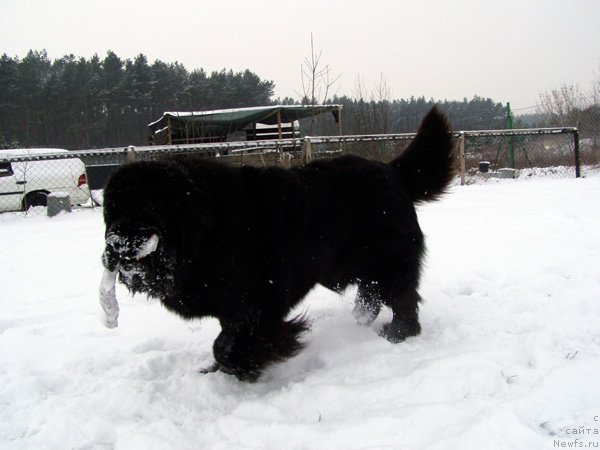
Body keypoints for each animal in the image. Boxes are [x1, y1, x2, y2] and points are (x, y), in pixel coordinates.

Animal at [101, 107, 454, 382]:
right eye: (111, 213)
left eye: (146, 210)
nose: (117, 245)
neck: (207, 231)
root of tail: (392, 171)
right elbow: (226, 335)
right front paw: (219, 370)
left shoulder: (260, 299)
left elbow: (229, 342)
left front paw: (244, 365)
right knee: (373, 293)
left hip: (391, 258)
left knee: (402, 297)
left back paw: (397, 334)